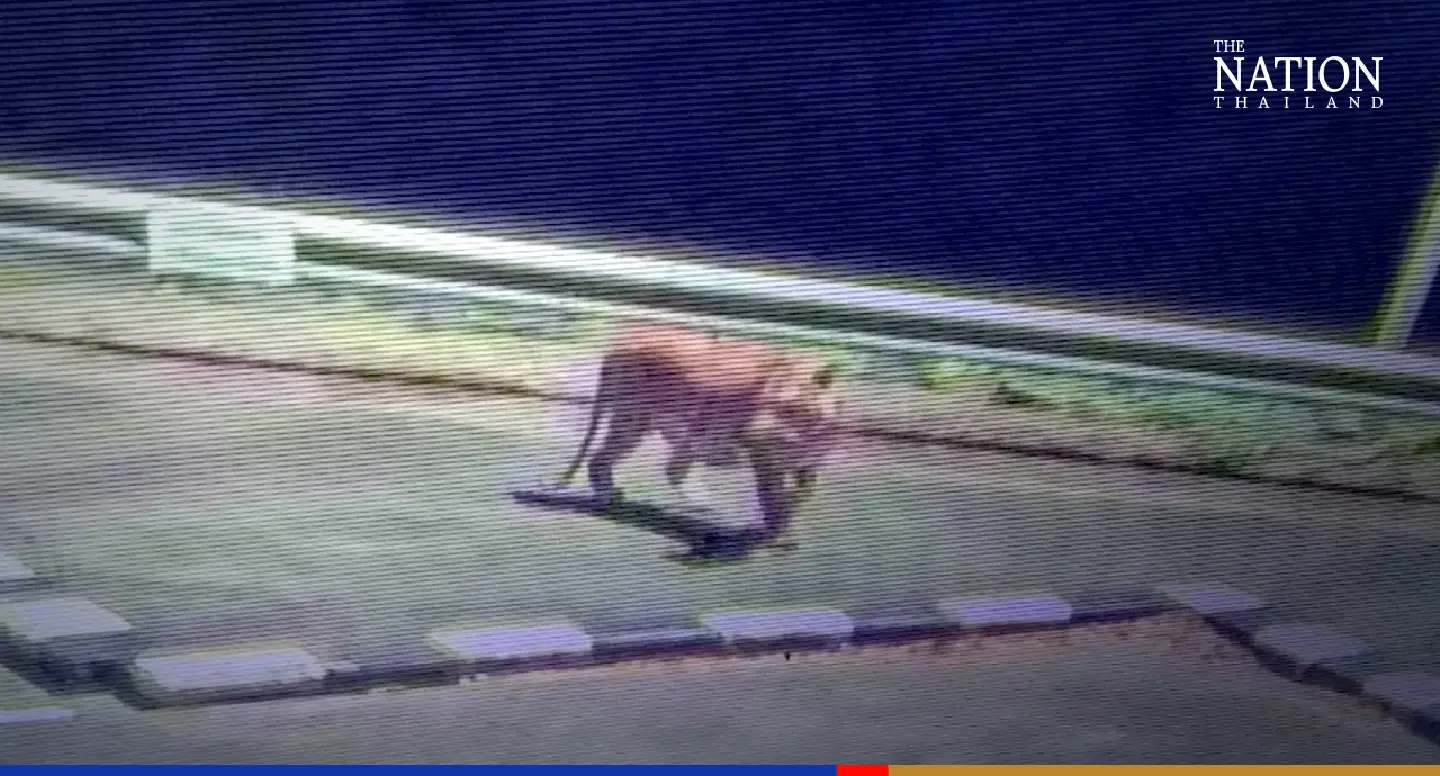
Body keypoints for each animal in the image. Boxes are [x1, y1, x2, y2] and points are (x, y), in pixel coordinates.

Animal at [555, 321, 845, 546]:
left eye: (787, 407)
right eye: (763, 401)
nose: (750, 432)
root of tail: (622, 339)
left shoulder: (806, 459)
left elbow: (803, 489)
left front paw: (784, 521)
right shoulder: (763, 457)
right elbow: (770, 494)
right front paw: (774, 530)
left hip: (651, 424)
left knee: (658, 466)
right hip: (635, 420)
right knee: (611, 460)